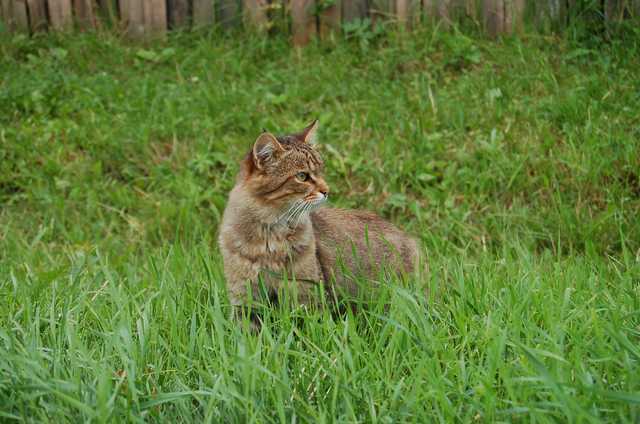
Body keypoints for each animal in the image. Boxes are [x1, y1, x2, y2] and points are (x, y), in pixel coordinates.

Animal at [218, 119, 422, 318]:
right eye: (302, 176)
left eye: (321, 171)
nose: (327, 190)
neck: (271, 234)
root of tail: (409, 239)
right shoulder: (245, 300)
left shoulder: (306, 296)